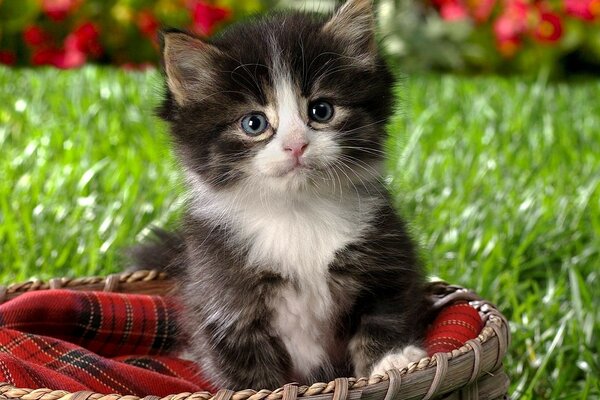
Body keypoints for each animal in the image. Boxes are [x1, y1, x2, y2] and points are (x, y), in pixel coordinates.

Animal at [131, 0, 432, 390]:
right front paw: (261, 390)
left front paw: (390, 360)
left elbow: (384, 315)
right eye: (253, 123)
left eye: (321, 110)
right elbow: (249, 372)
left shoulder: (388, 260)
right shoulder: (221, 297)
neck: (296, 212)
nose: (296, 145)